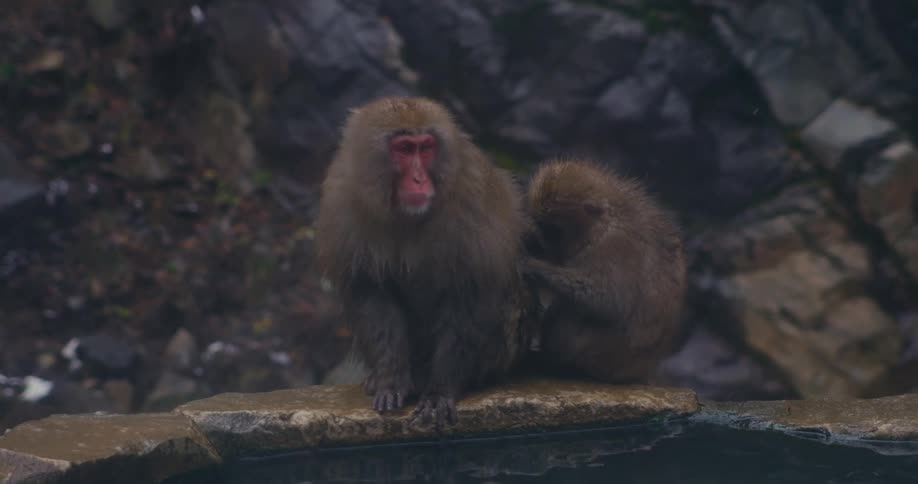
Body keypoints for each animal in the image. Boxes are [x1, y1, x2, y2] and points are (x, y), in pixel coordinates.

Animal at [313, 97, 535, 427]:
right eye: (405, 149)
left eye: (425, 147)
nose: (419, 179)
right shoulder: (343, 200)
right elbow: (370, 293)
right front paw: (391, 380)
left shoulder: (472, 201)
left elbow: (468, 294)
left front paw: (439, 391)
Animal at [521, 158, 686, 384]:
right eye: (543, 226)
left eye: (554, 231)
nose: (547, 243)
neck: (604, 223)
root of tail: (640, 369)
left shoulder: (617, 247)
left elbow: (605, 298)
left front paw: (533, 265)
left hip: (600, 356)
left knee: (569, 314)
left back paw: (553, 362)